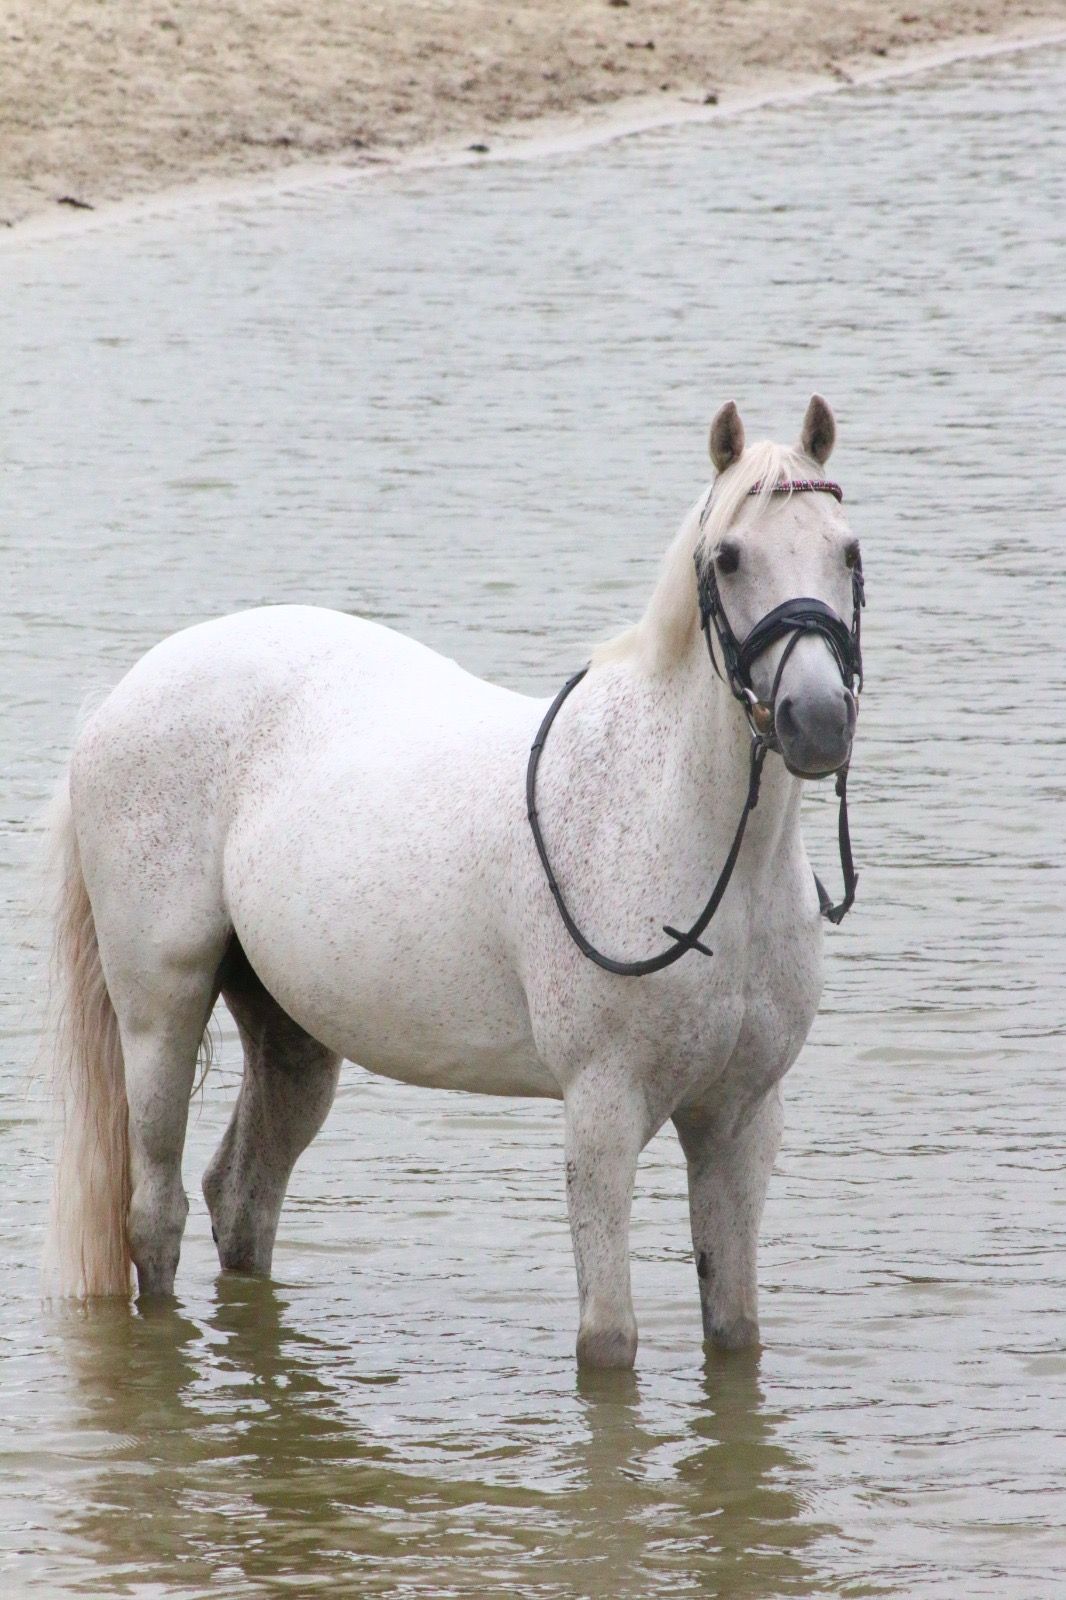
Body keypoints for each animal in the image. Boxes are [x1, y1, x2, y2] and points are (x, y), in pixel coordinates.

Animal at [44, 395, 864, 1369]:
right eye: (730, 557)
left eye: (848, 552)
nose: (816, 721)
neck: (694, 841)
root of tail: (118, 699)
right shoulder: (604, 1107)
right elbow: (608, 1341)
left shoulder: (740, 1119)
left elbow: (735, 1334)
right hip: (159, 1014)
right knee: (156, 1213)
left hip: (292, 1035)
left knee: (240, 1195)